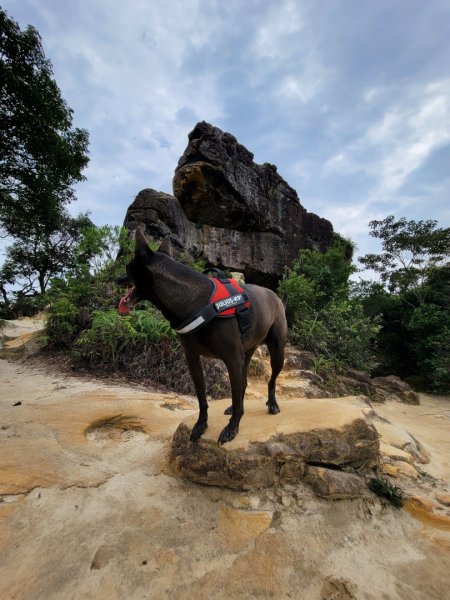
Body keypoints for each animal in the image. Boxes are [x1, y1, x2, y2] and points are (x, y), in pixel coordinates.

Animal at [118, 230, 288, 446]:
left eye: (127, 266)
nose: (116, 278)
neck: (195, 301)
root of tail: (275, 295)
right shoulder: (193, 359)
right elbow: (202, 398)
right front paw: (201, 425)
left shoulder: (232, 359)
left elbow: (236, 397)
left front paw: (231, 429)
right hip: (247, 354)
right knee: (243, 384)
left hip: (277, 352)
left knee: (271, 381)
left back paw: (272, 404)